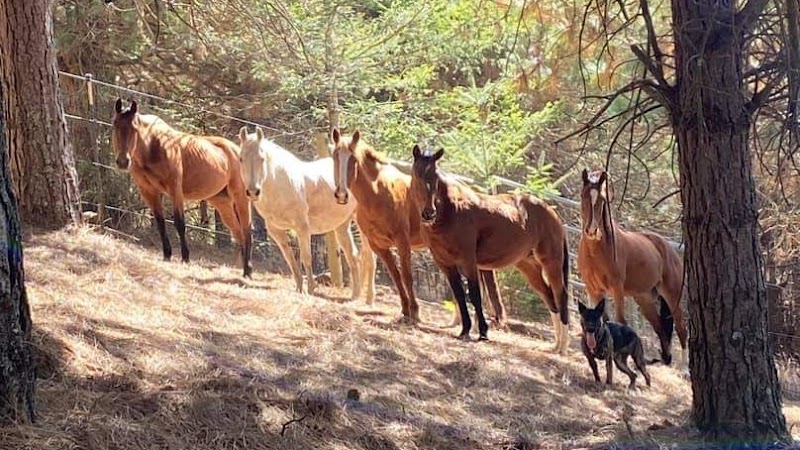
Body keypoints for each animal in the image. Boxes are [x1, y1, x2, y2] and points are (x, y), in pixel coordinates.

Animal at [111, 99, 253, 277]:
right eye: (115, 124)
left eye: (134, 128)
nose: (123, 161)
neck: (152, 148)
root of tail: (237, 150)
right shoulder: (148, 191)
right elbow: (160, 222)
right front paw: (167, 255)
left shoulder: (175, 190)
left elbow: (179, 223)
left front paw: (185, 257)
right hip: (222, 202)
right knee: (238, 232)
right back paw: (245, 268)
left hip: (240, 196)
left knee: (246, 230)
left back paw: (247, 270)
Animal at [238, 126, 375, 301]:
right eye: (241, 159)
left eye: (262, 159)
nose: (253, 192)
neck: (280, 184)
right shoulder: (276, 230)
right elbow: (289, 258)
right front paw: (299, 287)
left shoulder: (302, 227)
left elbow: (306, 256)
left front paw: (310, 288)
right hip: (342, 226)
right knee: (354, 256)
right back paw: (355, 295)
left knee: (370, 258)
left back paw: (369, 299)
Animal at [330, 129, 506, 326]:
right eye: (335, 156)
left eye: (352, 159)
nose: (341, 194)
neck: (378, 194)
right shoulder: (378, 245)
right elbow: (396, 276)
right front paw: (405, 310)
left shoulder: (402, 241)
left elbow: (407, 276)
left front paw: (415, 312)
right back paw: (460, 321)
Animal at [409, 146, 571, 349]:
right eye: (417, 175)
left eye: (436, 177)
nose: (428, 213)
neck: (451, 211)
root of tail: (553, 215)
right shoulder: (445, 263)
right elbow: (460, 295)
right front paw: (464, 330)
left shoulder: (468, 261)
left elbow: (475, 295)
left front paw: (483, 333)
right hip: (529, 266)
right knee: (549, 298)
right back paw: (555, 346)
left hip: (551, 262)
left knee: (560, 296)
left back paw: (562, 347)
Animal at [576, 168, 687, 366]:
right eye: (583, 196)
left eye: (602, 200)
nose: (592, 230)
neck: (597, 250)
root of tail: (668, 248)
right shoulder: (593, 289)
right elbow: (599, 318)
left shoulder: (617, 290)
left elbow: (620, 321)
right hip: (644, 299)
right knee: (660, 328)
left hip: (672, 295)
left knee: (681, 328)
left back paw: (683, 367)